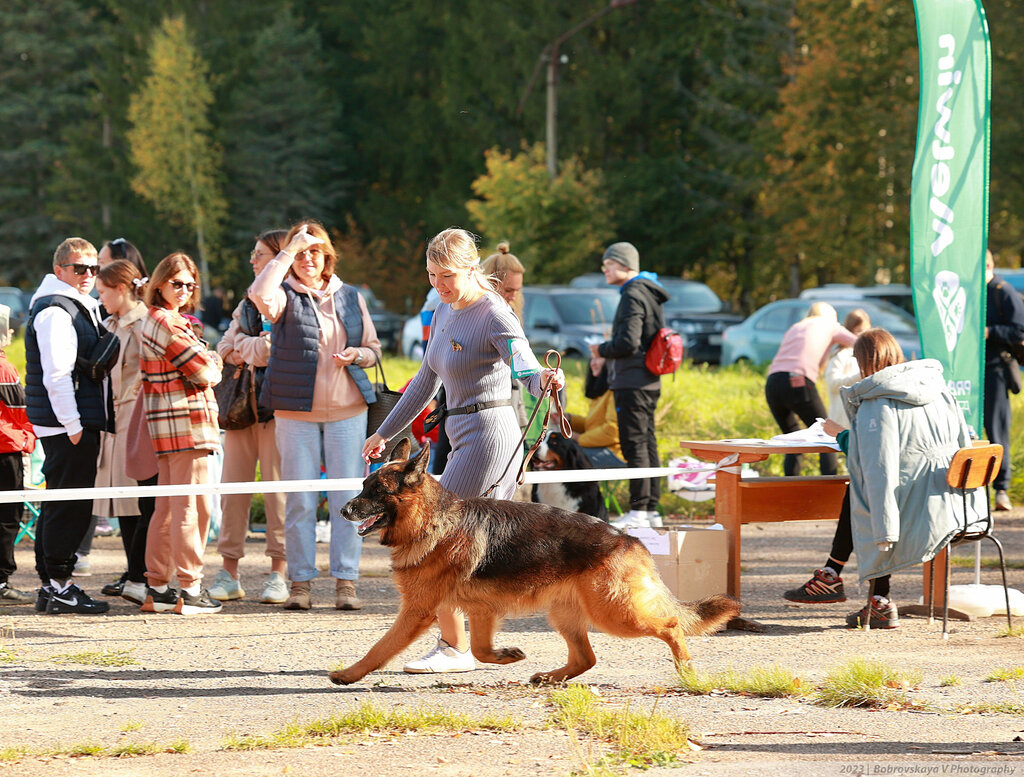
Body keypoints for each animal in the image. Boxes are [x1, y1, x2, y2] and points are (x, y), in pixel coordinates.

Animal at [329, 439, 739, 686]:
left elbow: (380, 648)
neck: (432, 519)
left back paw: (686, 669)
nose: (343, 510)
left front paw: (348, 674)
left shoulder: (417, 612)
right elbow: (480, 649)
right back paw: (552, 678)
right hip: (566, 613)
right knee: (586, 658)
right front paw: (505, 656)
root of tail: (629, 539)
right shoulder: (479, 611)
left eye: (377, 490)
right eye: (363, 486)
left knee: (670, 625)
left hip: (616, 614)